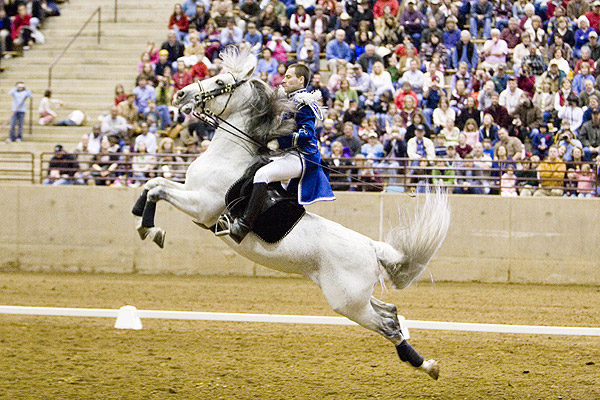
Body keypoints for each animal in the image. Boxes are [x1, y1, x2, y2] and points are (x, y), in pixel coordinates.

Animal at [132, 48, 450, 380]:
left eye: (219, 81)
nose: (180, 94)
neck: (228, 156)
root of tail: (372, 247)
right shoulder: (189, 191)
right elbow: (154, 184)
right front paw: (143, 221)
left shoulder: (201, 205)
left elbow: (157, 190)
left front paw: (151, 229)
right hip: (357, 296)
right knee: (390, 312)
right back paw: (425, 363)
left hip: (348, 302)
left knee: (387, 326)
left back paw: (427, 366)